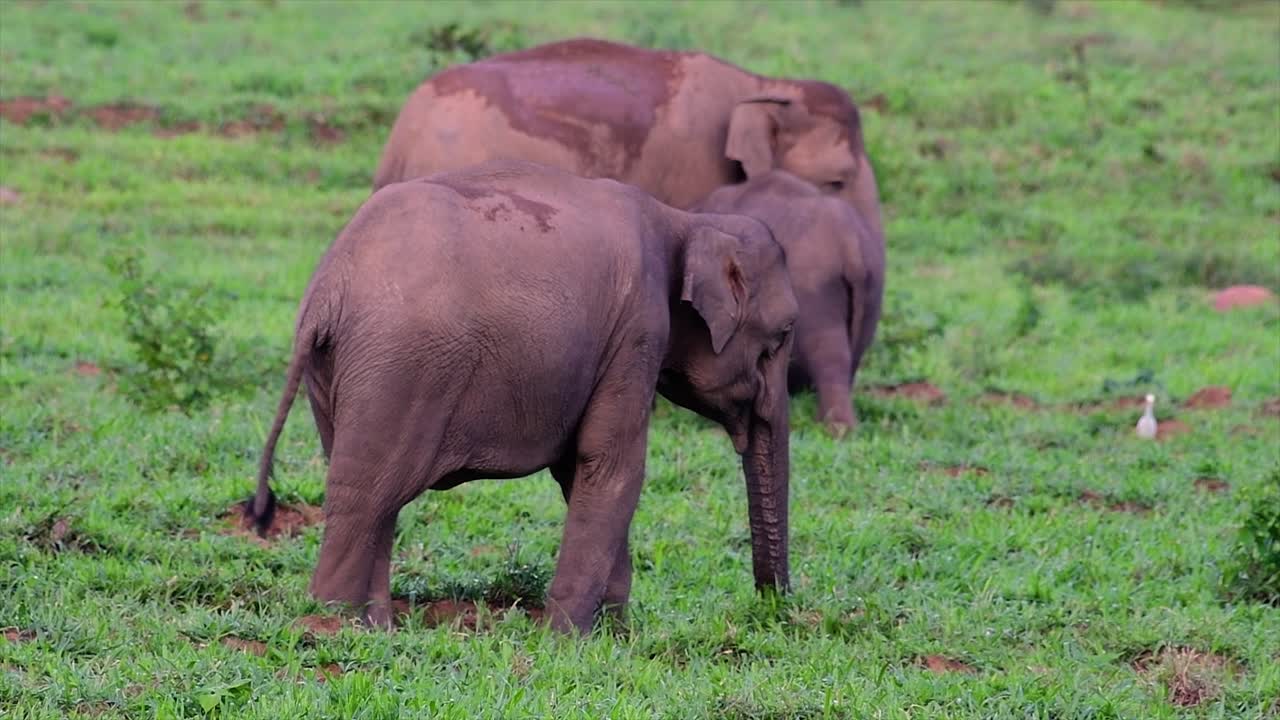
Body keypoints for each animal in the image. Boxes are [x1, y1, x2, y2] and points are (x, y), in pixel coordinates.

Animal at [245, 159, 800, 635]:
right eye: (784, 335)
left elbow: (580, 471)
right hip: (402, 366)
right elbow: (613, 465)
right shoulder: (637, 331)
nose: (775, 608)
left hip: (340, 372)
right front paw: (570, 640)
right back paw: (333, 626)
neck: (687, 220)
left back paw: (377, 628)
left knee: (370, 489)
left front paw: (613, 635)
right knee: (366, 497)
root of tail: (330, 287)